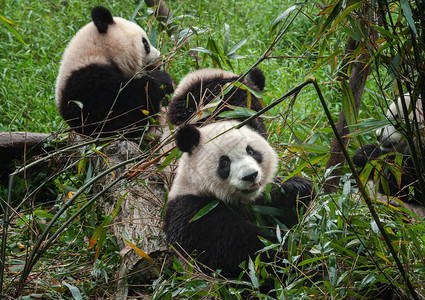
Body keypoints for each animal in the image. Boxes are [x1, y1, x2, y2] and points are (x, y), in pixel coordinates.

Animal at [164, 119, 314, 276]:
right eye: (224, 162)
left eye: (251, 151)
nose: (250, 175)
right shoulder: (195, 214)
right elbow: (244, 252)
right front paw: (301, 258)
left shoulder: (258, 202)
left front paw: (297, 188)